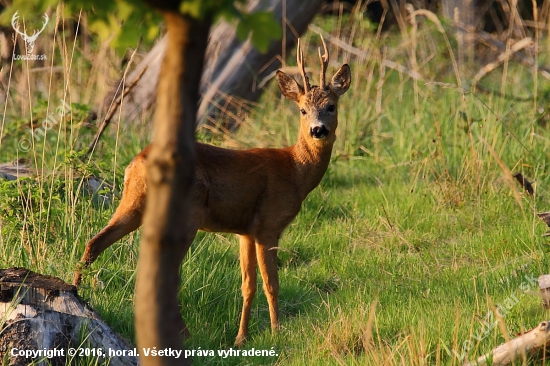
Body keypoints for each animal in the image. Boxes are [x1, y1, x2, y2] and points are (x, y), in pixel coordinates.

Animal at [74, 37, 354, 346]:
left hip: (132, 202)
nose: (318, 130)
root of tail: (138, 162)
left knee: (95, 242)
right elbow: (272, 283)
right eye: (303, 110)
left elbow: (248, 285)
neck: (295, 170)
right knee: (167, 273)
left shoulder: (246, 230)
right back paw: (183, 333)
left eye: (331, 106)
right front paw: (277, 330)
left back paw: (78, 294)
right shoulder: (269, 223)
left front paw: (241, 337)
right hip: (187, 213)